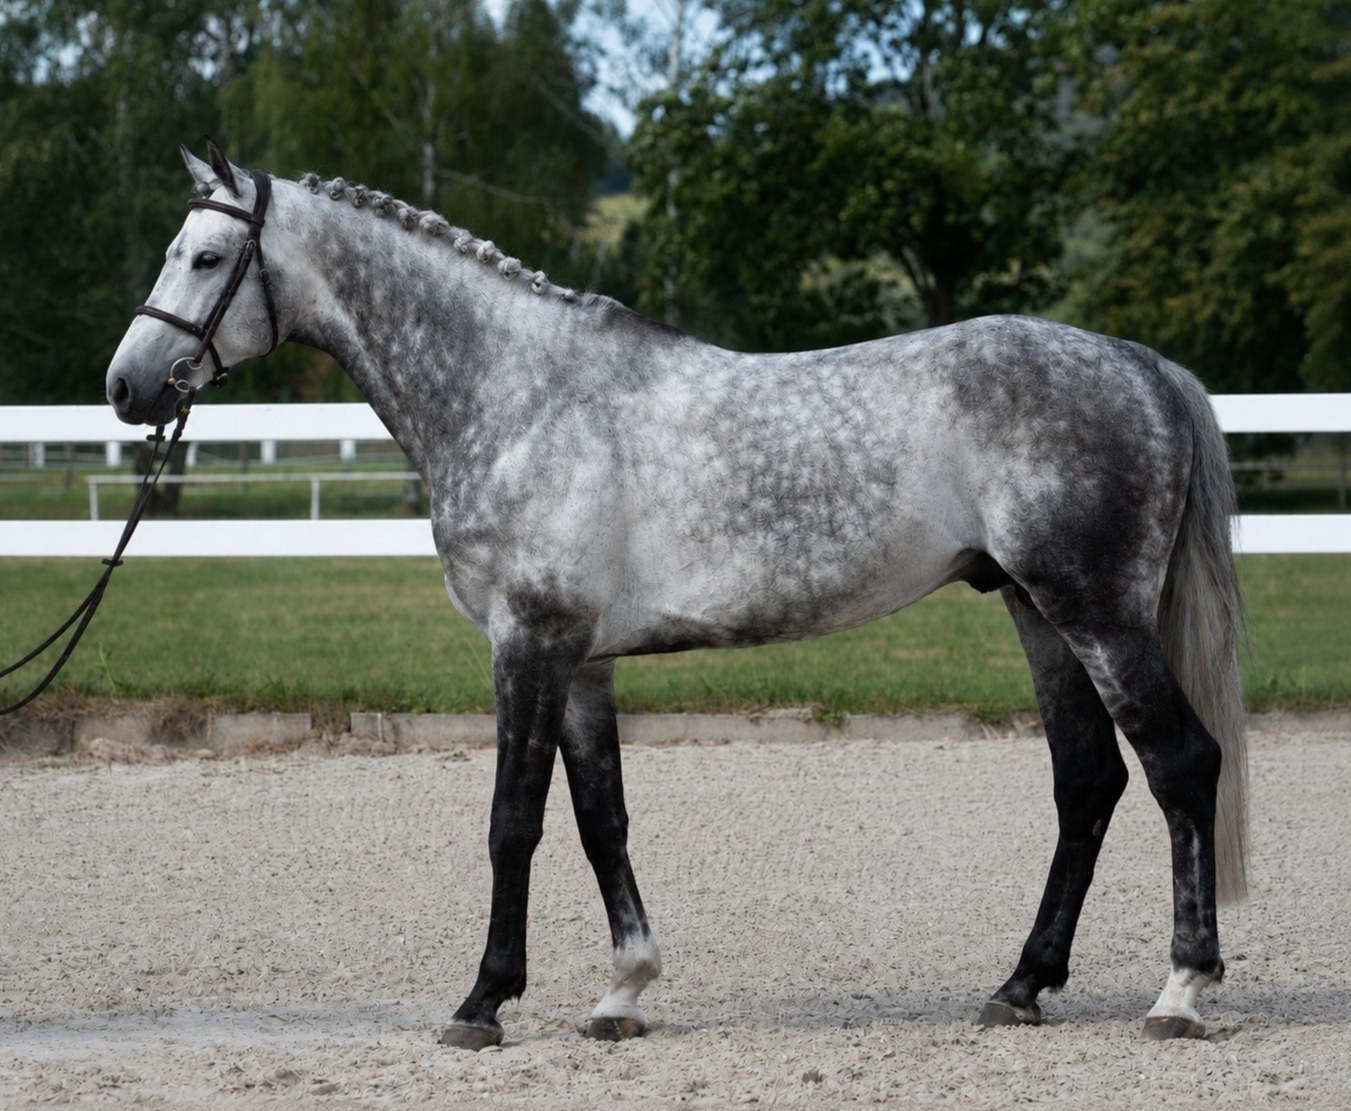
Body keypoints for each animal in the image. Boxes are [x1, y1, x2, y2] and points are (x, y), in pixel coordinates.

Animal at [106, 140, 1249, 1048]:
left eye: (207, 257)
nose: (125, 386)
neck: (519, 394)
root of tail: (1137, 362)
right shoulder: (582, 663)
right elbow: (599, 818)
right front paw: (623, 990)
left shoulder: (527, 644)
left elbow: (512, 820)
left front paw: (483, 1002)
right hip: (1036, 610)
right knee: (1086, 782)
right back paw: (1019, 986)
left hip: (1096, 613)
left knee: (1180, 764)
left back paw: (1180, 991)